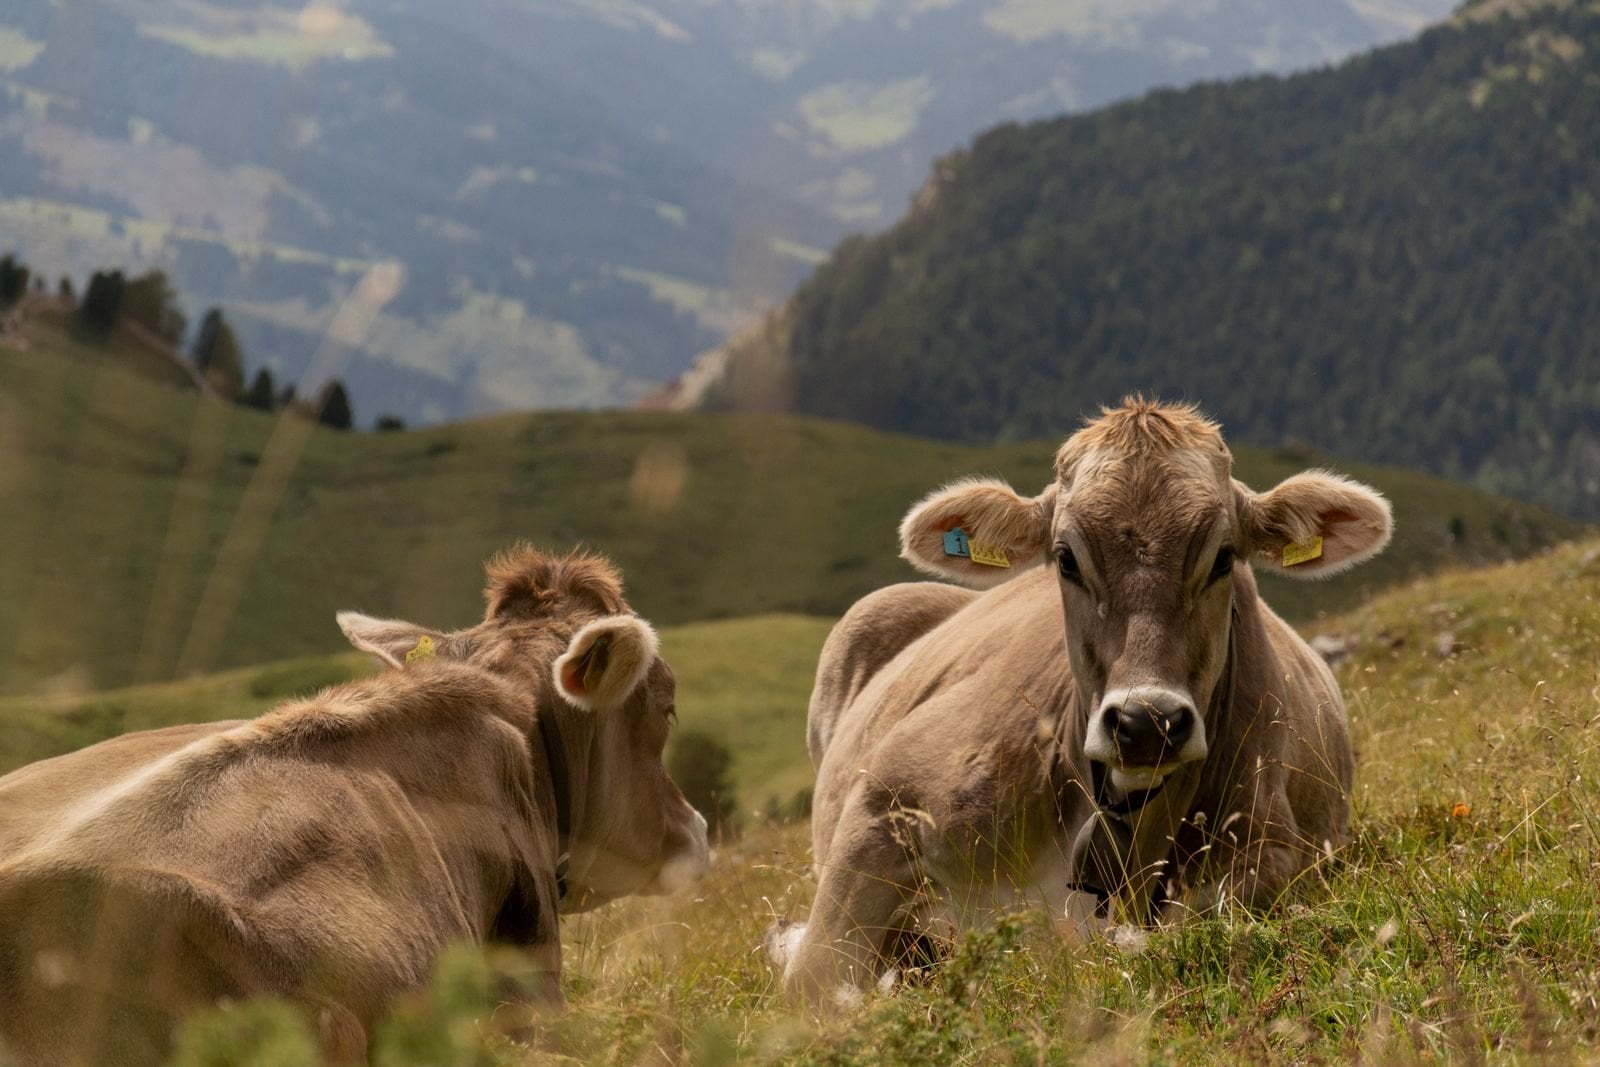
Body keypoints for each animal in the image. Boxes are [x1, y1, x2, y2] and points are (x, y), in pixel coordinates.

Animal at [771, 399, 1391, 1002]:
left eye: (1223, 557)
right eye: (1065, 558)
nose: (1147, 722)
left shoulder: (1271, 853)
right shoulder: (887, 799)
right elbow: (810, 979)